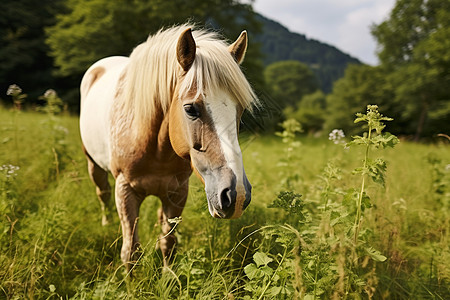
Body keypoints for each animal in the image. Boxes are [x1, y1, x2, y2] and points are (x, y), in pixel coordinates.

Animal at [79, 24, 258, 268]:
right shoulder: (125, 190)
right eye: (190, 109)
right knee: (102, 193)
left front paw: (167, 276)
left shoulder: (176, 192)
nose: (236, 194)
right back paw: (106, 224)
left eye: (240, 111)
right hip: (94, 165)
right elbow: (131, 252)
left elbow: (168, 243)